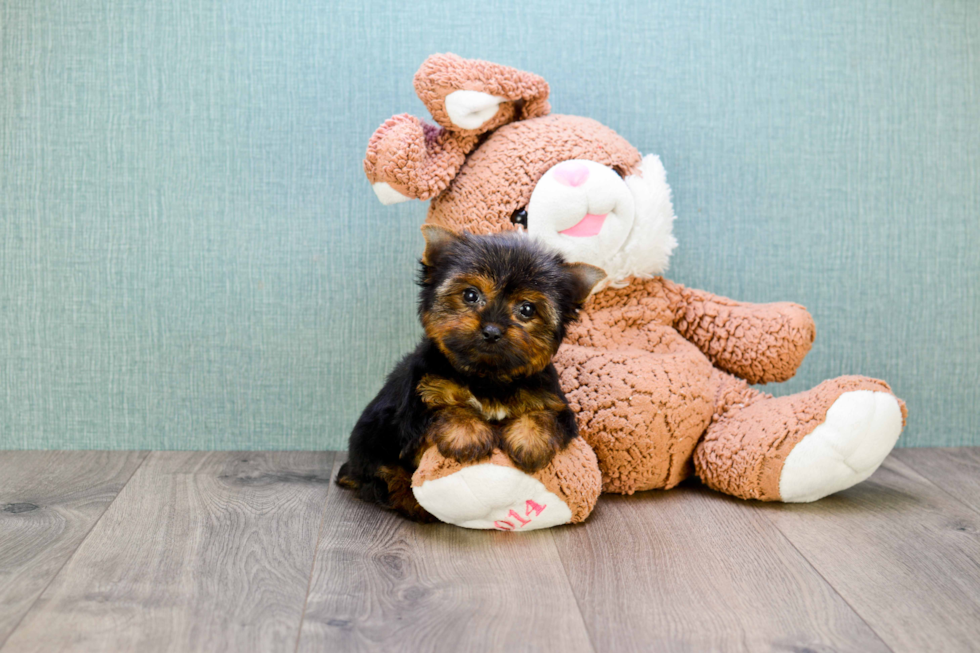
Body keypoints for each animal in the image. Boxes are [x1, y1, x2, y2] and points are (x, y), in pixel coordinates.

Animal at [336, 224, 604, 520]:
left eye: (527, 309)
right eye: (470, 295)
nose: (492, 331)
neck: (487, 378)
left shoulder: (552, 400)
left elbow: (545, 415)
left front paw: (530, 440)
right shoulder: (419, 402)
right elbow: (446, 409)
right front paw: (468, 435)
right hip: (372, 446)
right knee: (386, 475)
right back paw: (414, 502)